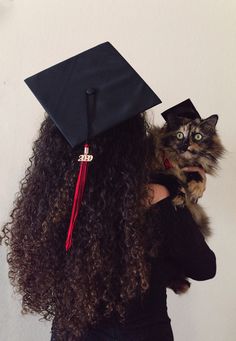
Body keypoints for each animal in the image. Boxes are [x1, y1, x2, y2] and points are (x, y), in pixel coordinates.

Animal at [149, 110, 225, 294]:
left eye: (197, 136)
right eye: (179, 135)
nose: (185, 146)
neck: (179, 162)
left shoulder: (192, 167)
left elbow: (197, 171)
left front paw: (196, 187)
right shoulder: (154, 172)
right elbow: (169, 178)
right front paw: (179, 195)